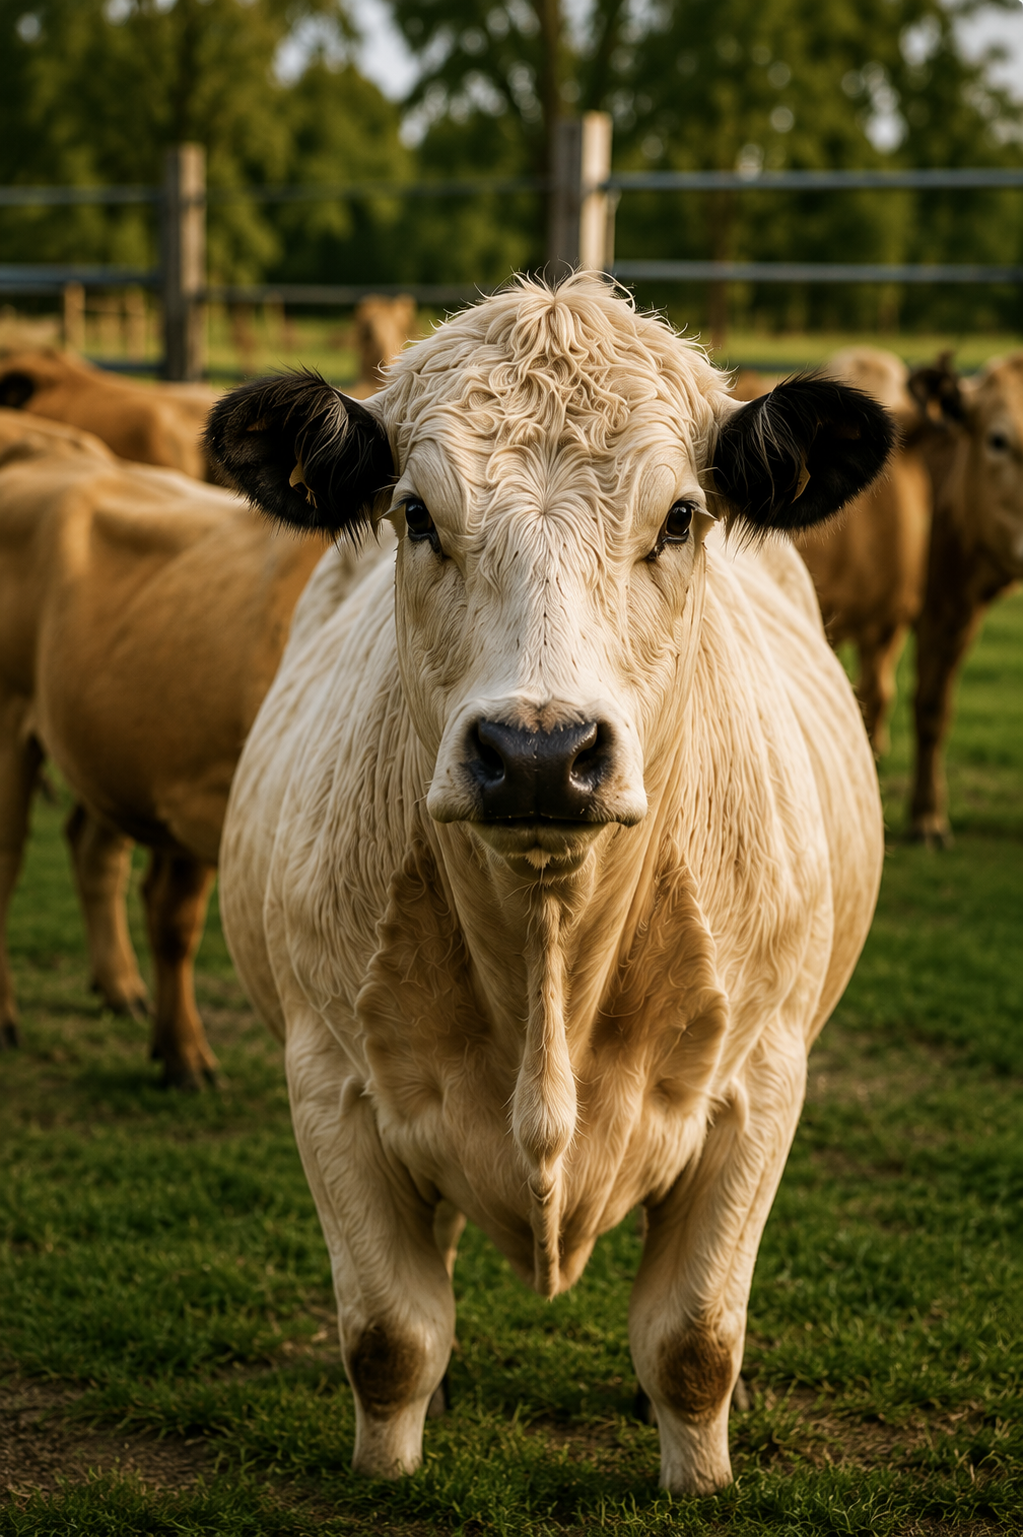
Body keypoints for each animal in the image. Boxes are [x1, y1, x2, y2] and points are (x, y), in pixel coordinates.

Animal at [206, 274, 892, 1492]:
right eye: (416, 515)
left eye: (679, 518)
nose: (537, 751)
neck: (547, 946)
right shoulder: (327, 1079)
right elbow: (389, 1333)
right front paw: (386, 1469)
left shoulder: (762, 1083)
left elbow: (693, 1339)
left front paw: (698, 1476)